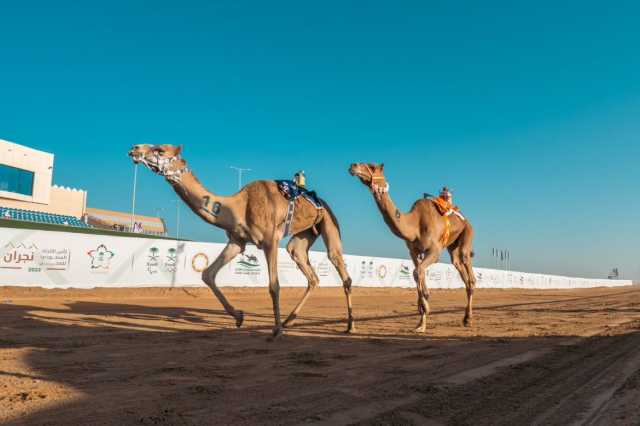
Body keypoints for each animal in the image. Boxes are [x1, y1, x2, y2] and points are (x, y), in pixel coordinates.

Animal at [126, 145, 356, 338]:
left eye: (160, 150)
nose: (135, 148)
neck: (238, 206)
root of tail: (319, 200)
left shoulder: (270, 240)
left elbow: (274, 286)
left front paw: (276, 331)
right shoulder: (237, 241)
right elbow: (208, 274)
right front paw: (239, 316)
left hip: (329, 222)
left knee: (340, 268)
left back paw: (349, 326)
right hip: (304, 235)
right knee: (308, 269)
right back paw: (290, 320)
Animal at [350, 161, 476, 332]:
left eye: (372, 166)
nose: (353, 165)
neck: (415, 224)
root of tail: (464, 218)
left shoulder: (434, 251)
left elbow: (419, 272)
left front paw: (426, 309)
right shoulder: (413, 251)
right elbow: (416, 273)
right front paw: (420, 322)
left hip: (467, 233)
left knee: (468, 269)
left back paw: (469, 318)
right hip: (452, 246)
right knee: (458, 266)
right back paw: (465, 318)